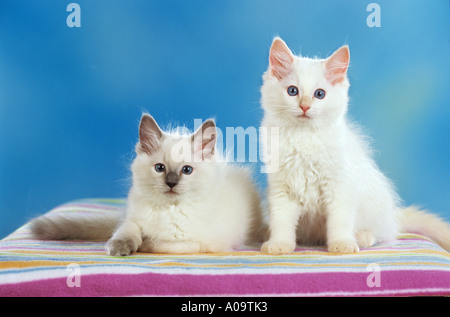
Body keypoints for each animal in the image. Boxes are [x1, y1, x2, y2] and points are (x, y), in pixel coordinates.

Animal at [32, 113, 268, 254]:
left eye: (186, 170)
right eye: (160, 168)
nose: (171, 183)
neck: (167, 210)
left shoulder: (196, 242)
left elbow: (158, 243)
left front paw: (143, 244)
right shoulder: (132, 219)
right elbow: (127, 230)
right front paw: (121, 247)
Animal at [258, 37, 450, 254]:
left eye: (319, 94)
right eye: (293, 91)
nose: (305, 106)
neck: (303, 137)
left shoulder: (340, 186)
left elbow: (339, 221)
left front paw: (342, 244)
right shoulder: (281, 188)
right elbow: (281, 221)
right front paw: (279, 244)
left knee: (383, 233)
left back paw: (362, 237)